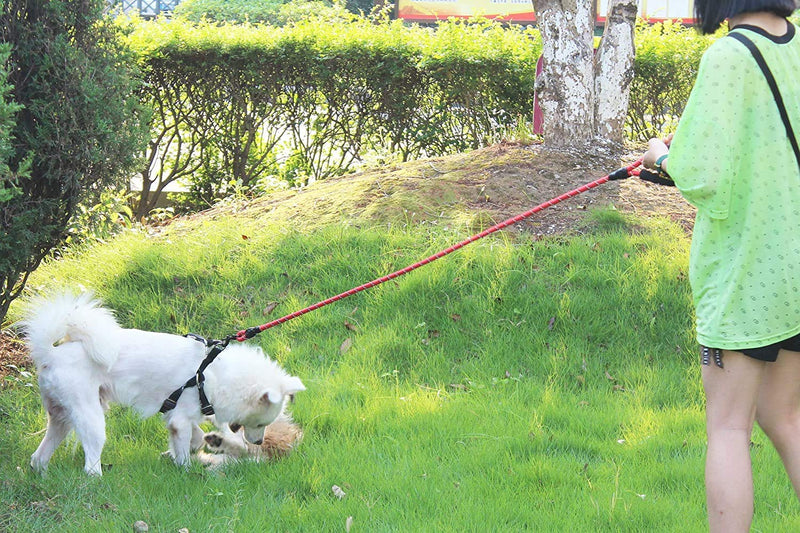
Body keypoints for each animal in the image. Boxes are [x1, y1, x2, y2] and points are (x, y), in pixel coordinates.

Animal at [21, 294, 304, 476]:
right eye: (261, 423)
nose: (258, 443)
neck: (211, 374)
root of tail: (49, 354)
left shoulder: (178, 417)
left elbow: (196, 438)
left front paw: (188, 451)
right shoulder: (180, 419)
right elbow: (188, 449)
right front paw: (186, 470)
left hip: (62, 419)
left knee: (38, 457)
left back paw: (43, 477)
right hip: (89, 419)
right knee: (90, 465)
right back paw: (97, 481)